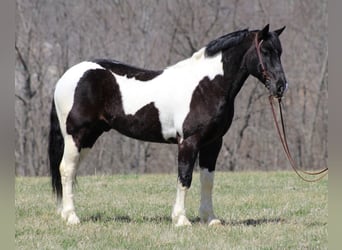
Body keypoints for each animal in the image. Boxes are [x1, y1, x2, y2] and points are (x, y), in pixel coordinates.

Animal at [48, 24, 288, 227]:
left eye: (280, 52)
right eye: (265, 51)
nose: (280, 86)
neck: (206, 86)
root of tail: (65, 77)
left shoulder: (213, 143)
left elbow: (207, 180)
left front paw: (210, 219)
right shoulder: (189, 142)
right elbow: (185, 178)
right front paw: (181, 219)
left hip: (89, 138)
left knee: (70, 170)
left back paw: (65, 214)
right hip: (76, 135)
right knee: (66, 169)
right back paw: (72, 217)